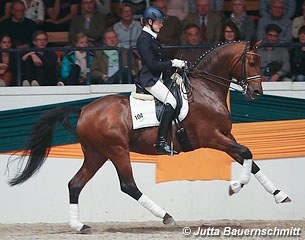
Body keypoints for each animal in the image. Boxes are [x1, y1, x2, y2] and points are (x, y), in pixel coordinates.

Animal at [7, 40, 290, 232]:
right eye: (251, 62)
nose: (256, 92)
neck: (205, 89)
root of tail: (85, 109)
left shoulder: (225, 136)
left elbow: (251, 160)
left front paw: (280, 195)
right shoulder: (212, 137)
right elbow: (247, 153)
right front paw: (235, 187)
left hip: (97, 154)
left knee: (75, 184)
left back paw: (80, 226)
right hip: (117, 151)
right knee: (128, 185)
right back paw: (166, 216)